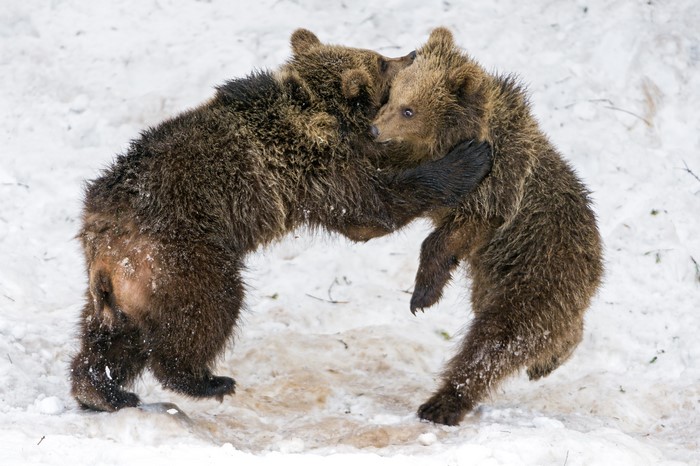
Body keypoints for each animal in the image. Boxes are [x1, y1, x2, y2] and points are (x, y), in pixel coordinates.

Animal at [69, 28, 493, 412]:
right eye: (382, 62)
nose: (411, 52)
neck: (322, 111)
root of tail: (103, 240)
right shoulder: (318, 170)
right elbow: (373, 210)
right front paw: (468, 157)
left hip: (125, 289)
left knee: (110, 340)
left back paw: (102, 391)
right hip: (181, 255)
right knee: (209, 309)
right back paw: (206, 380)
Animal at [371, 27, 604, 425]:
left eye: (409, 109)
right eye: (392, 97)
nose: (373, 130)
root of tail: (595, 266)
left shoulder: (495, 192)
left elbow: (451, 233)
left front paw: (423, 294)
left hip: (537, 276)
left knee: (497, 341)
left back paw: (443, 403)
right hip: (497, 278)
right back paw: (549, 359)